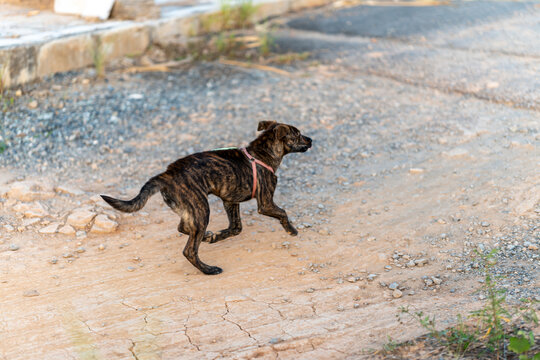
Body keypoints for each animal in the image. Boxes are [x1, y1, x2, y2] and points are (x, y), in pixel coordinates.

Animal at [101, 122, 312, 274]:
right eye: (298, 134)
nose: (311, 140)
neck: (262, 153)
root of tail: (167, 174)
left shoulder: (230, 201)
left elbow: (236, 228)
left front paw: (216, 237)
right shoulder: (266, 203)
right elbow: (283, 212)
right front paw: (291, 230)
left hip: (191, 210)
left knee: (184, 228)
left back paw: (207, 236)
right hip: (201, 209)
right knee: (189, 250)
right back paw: (208, 269)